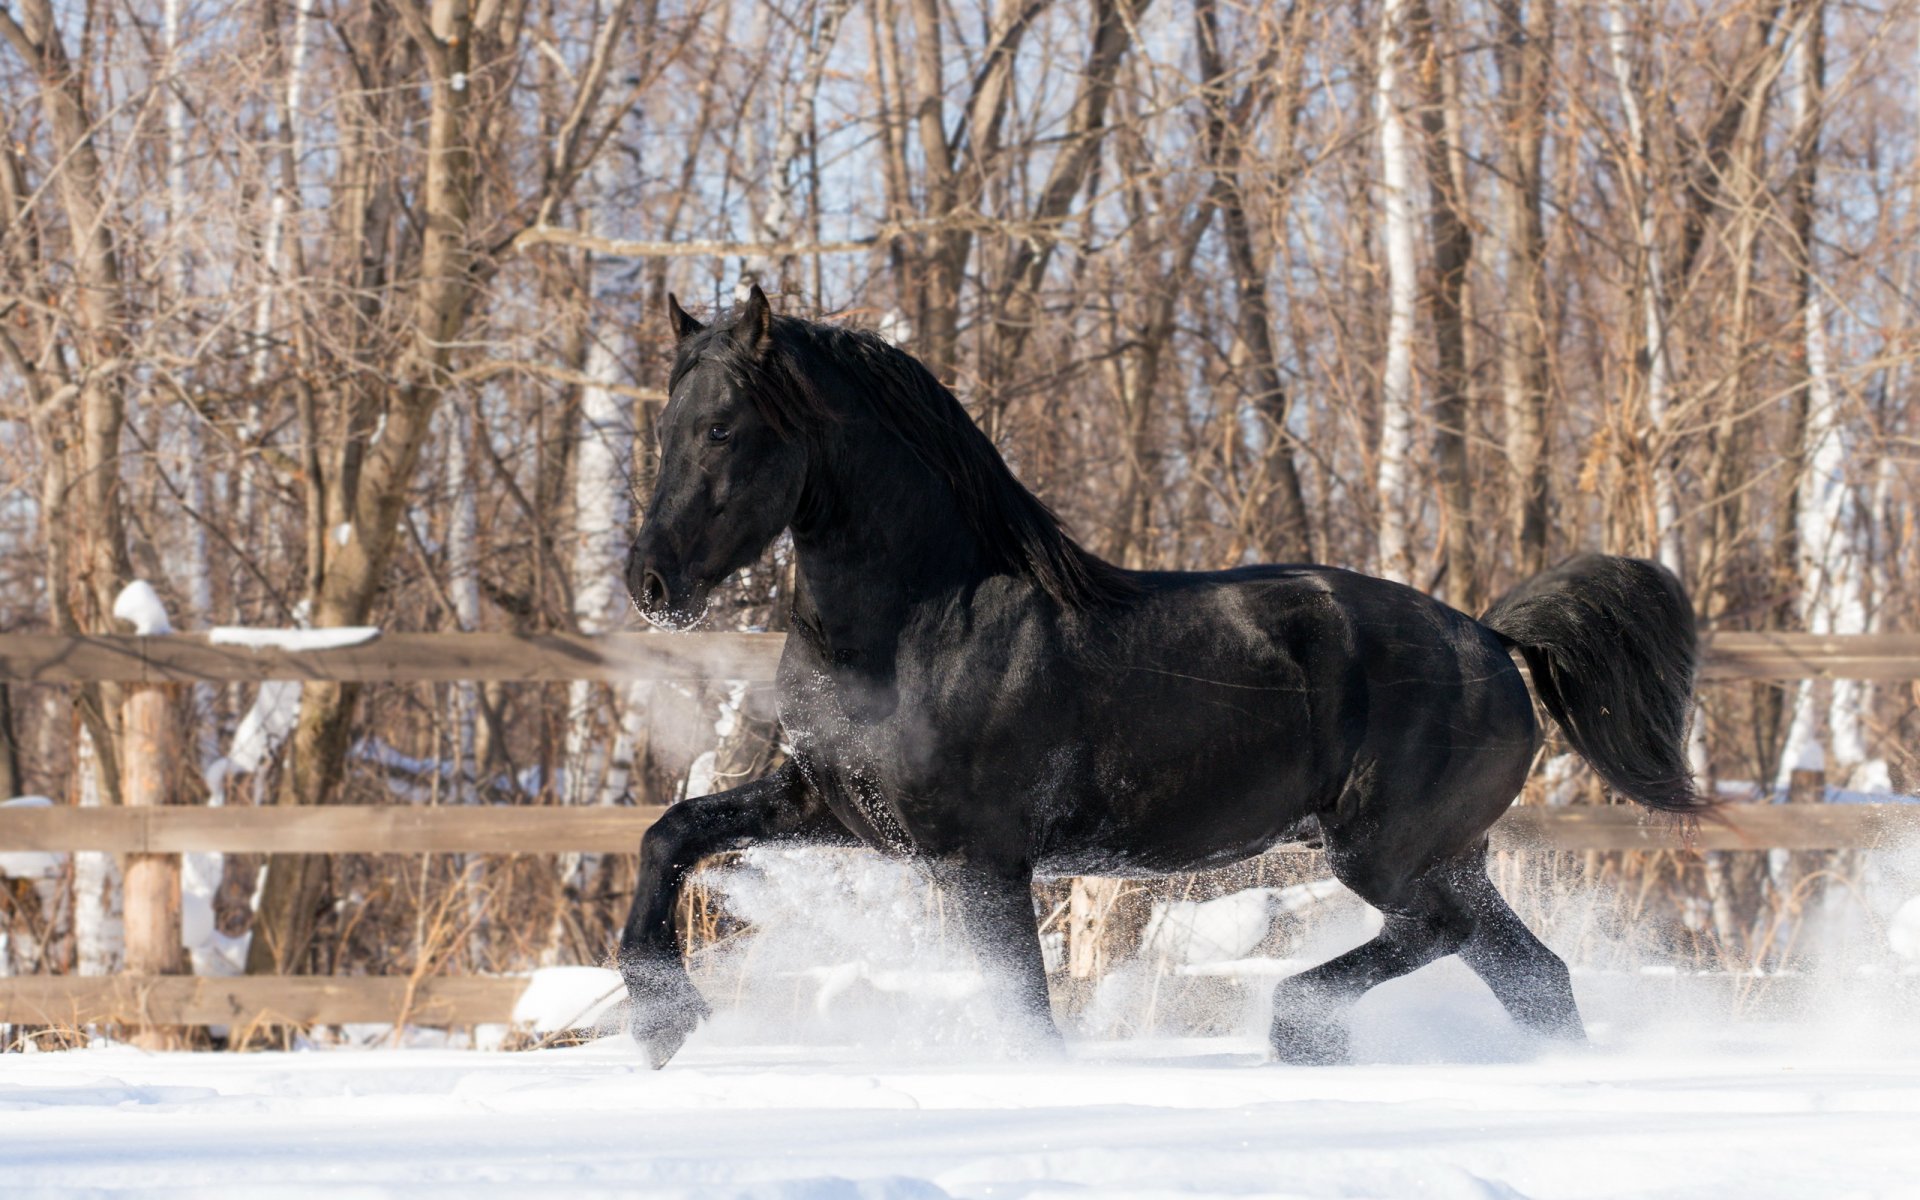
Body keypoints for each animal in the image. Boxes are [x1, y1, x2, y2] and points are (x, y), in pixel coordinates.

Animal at [617, 284, 1705, 1068]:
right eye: (667, 427)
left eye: (724, 430)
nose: (650, 582)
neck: (919, 625)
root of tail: (1489, 636)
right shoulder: (835, 809)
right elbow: (671, 831)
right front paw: (660, 1019)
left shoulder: (982, 858)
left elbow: (1024, 1008)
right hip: (1448, 855)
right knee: (1534, 976)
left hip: (1386, 851)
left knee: (1438, 933)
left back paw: (1299, 1027)